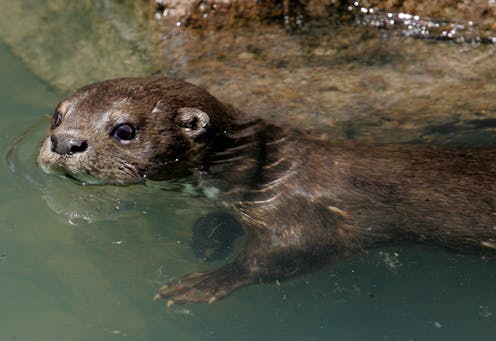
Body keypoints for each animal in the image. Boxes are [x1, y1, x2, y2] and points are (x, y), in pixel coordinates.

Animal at [37, 76, 496, 302]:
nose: (64, 143)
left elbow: (285, 255)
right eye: (58, 115)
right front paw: (208, 236)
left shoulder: (304, 217)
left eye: (124, 130)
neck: (265, 170)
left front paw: (202, 284)